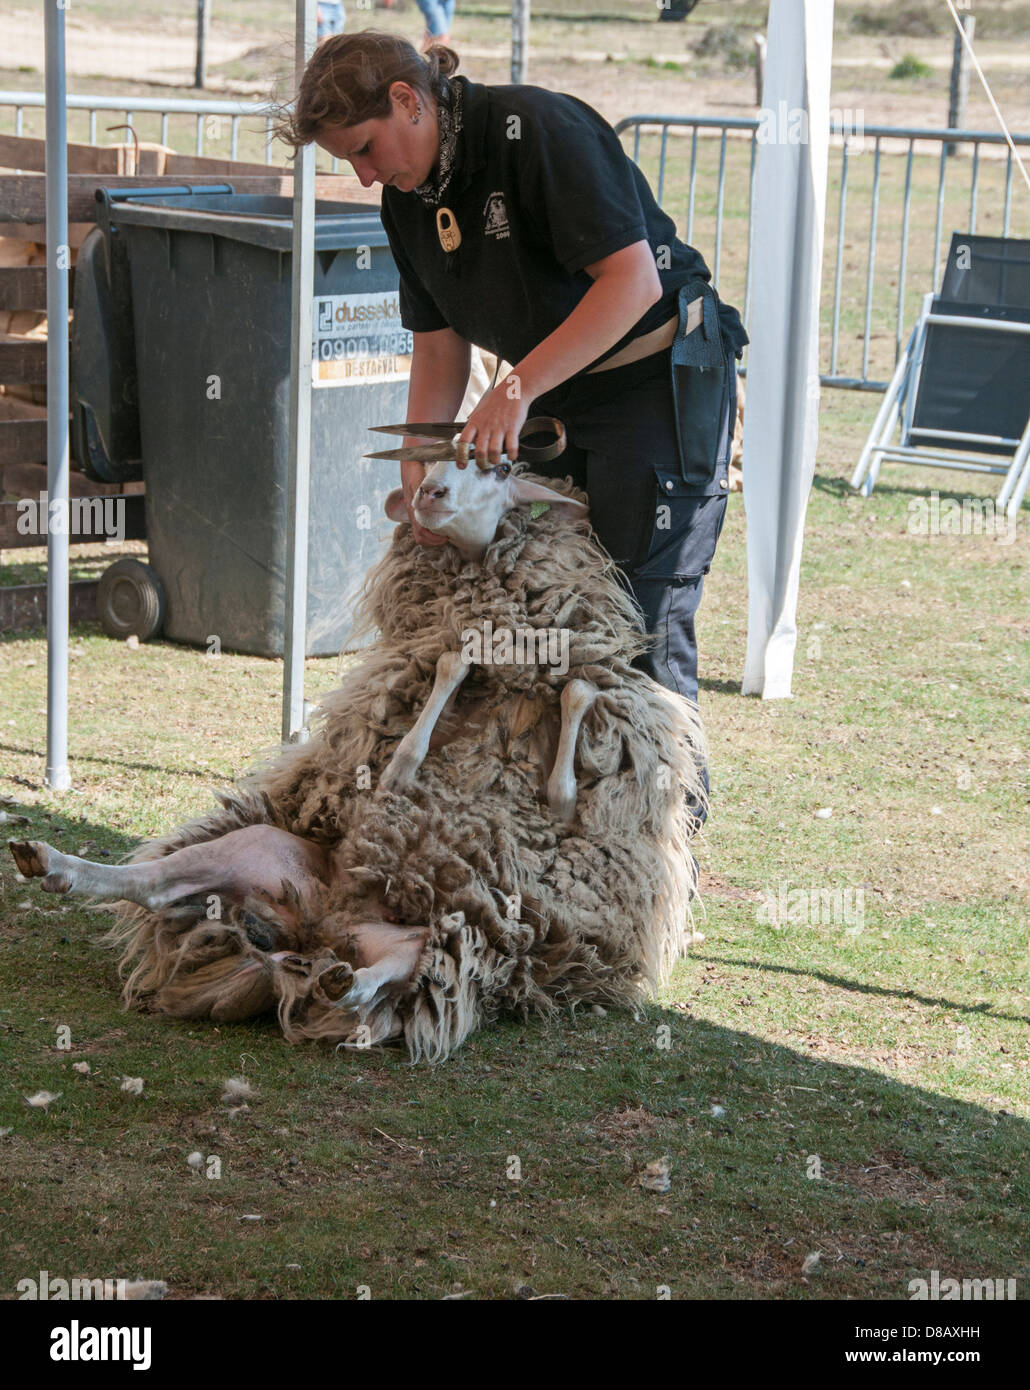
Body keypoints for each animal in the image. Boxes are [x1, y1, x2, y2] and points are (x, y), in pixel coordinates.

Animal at [10, 465, 708, 1063]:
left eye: (499, 468)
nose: (427, 493)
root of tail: (310, 936)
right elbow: (435, 703)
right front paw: (435, 705)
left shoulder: (566, 779)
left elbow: (571, 718)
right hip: (261, 848)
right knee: (155, 884)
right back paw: (54, 865)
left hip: (440, 942)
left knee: (372, 985)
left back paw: (334, 981)